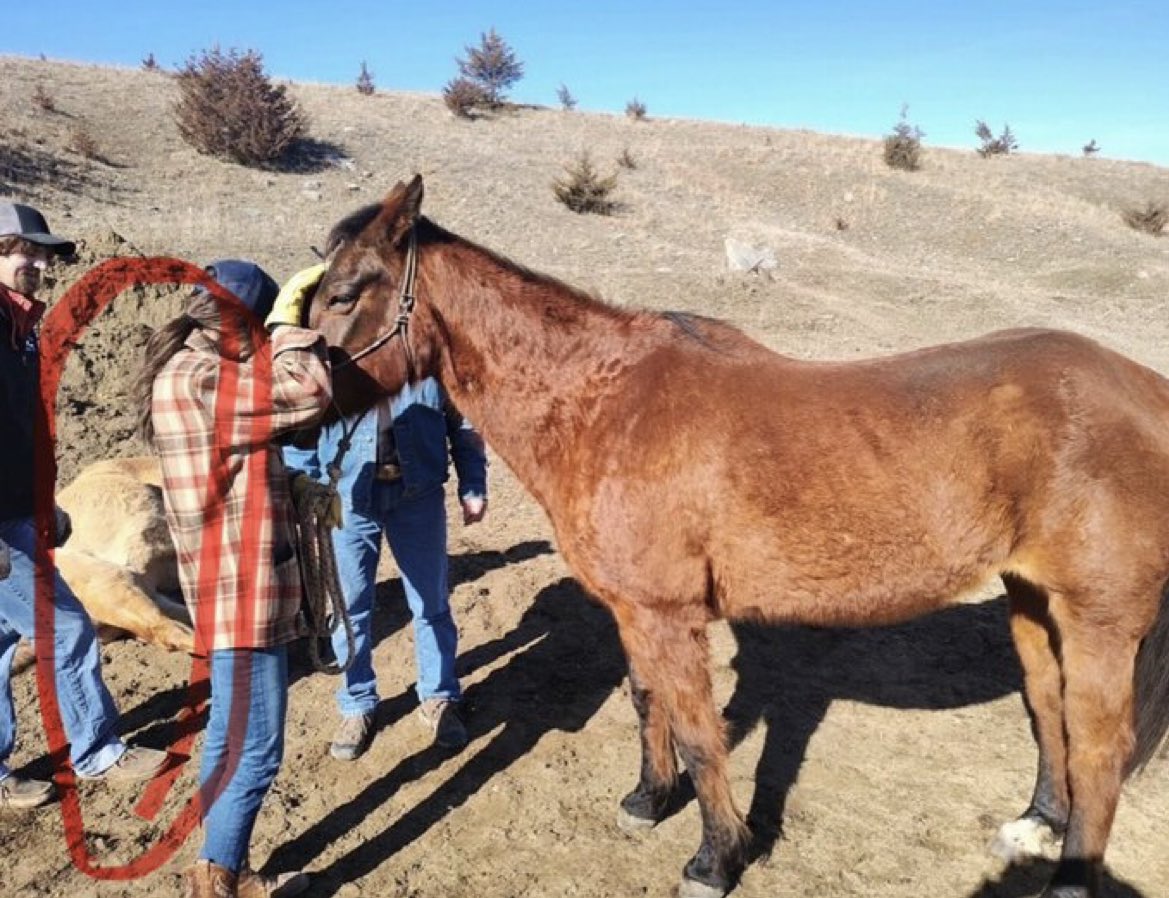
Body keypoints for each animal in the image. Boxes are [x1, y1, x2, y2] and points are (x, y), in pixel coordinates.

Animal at [303, 177, 1169, 898]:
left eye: (344, 294)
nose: (290, 411)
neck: (604, 403)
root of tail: (1145, 389)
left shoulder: (669, 615)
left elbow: (697, 731)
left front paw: (714, 858)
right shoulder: (632, 612)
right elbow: (646, 700)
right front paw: (647, 800)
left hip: (1098, 619)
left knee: (1099, 747)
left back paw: (1070, 878)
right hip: (1031, 600)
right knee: (1047, 708)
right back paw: (1037, 823)